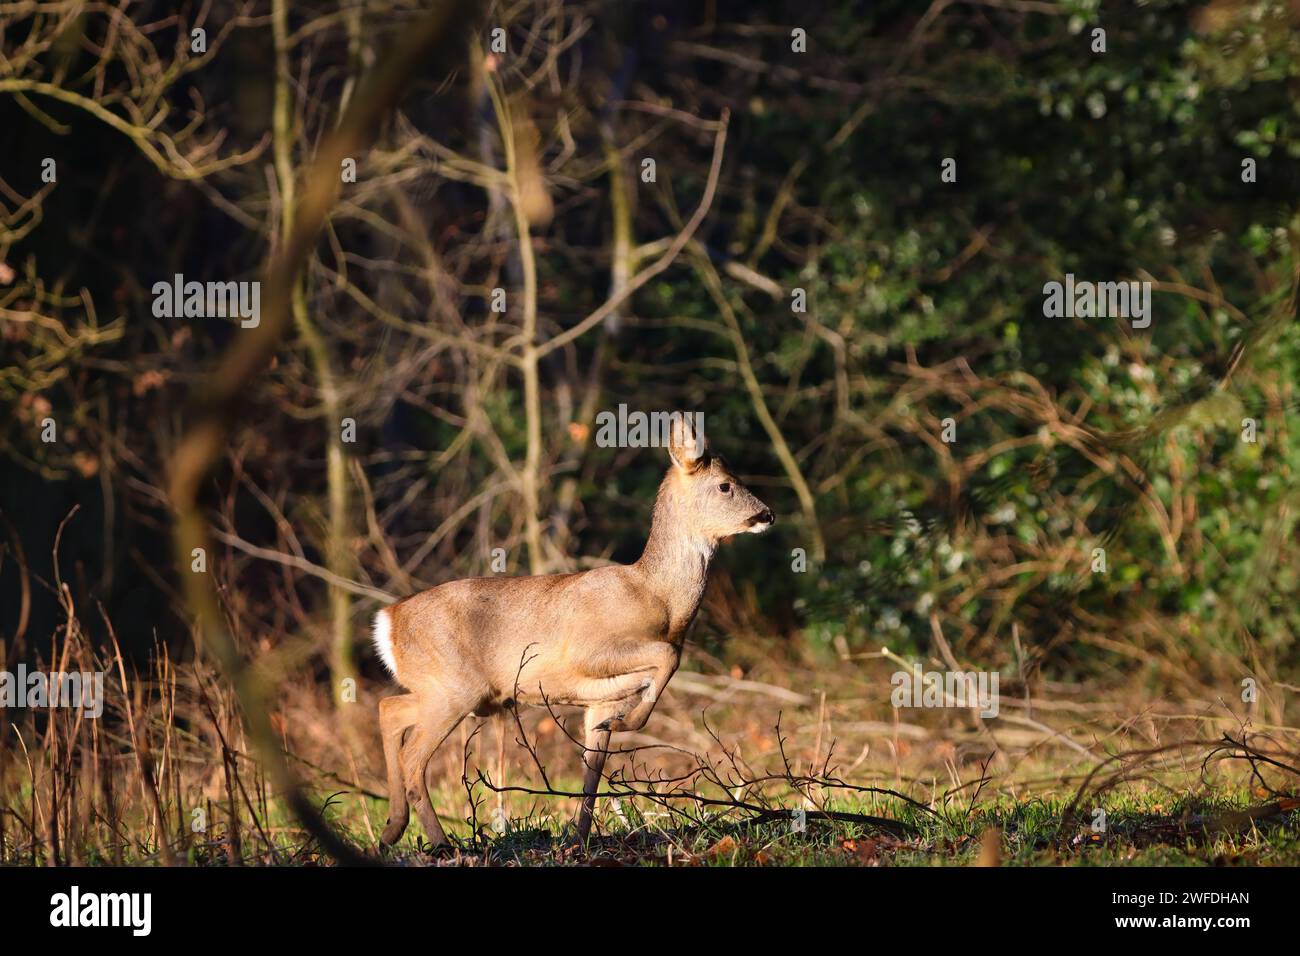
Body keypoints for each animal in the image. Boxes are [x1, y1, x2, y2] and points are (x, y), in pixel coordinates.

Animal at [371, 415, 774, 848]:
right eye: (726, 485)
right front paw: (628, 725)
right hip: (454, 688)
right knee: (412, 755)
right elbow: (670, 655)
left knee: (389, 709)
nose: (767, 514)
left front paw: (579, 838)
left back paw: (392, 828)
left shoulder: (602, 700)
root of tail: (388, 619)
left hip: (444, 690)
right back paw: (439, 840)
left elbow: (591, 775)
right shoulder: (586, 651)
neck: (658, 598)